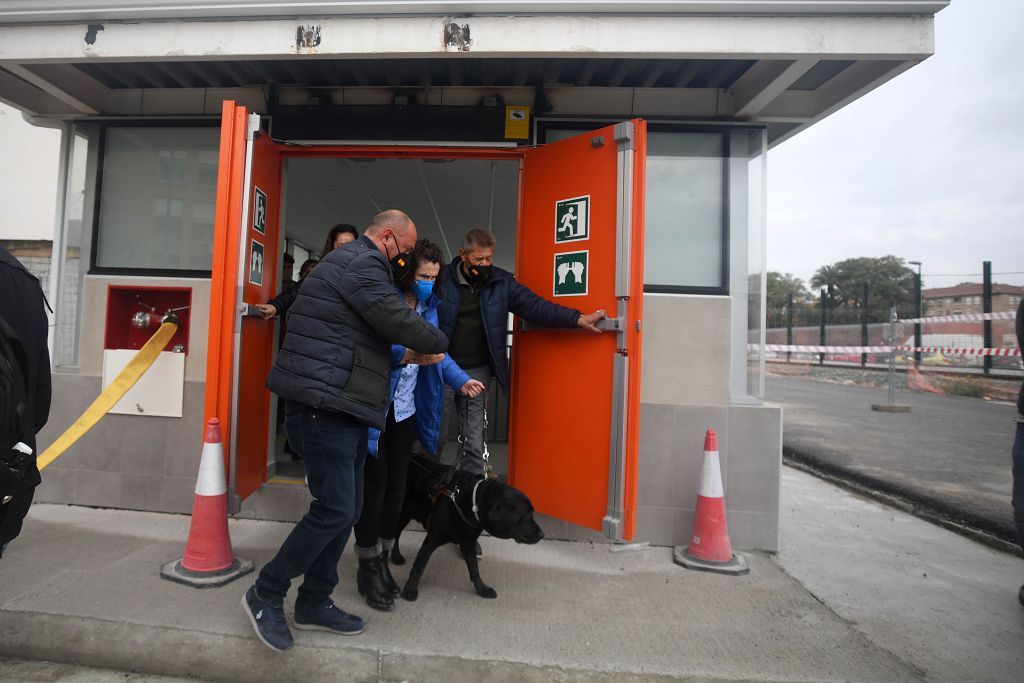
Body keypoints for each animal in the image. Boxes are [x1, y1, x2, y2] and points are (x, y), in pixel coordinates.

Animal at [393, 456, 544, 602]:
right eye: (528, 515)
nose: (542, 534)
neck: (469, 501)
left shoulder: (469, 542)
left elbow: (474, 569)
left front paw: (482, 589)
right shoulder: (431, 539)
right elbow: (419, 566)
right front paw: (410, 589)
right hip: (402, 514)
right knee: (396, 534)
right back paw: (396, 556)